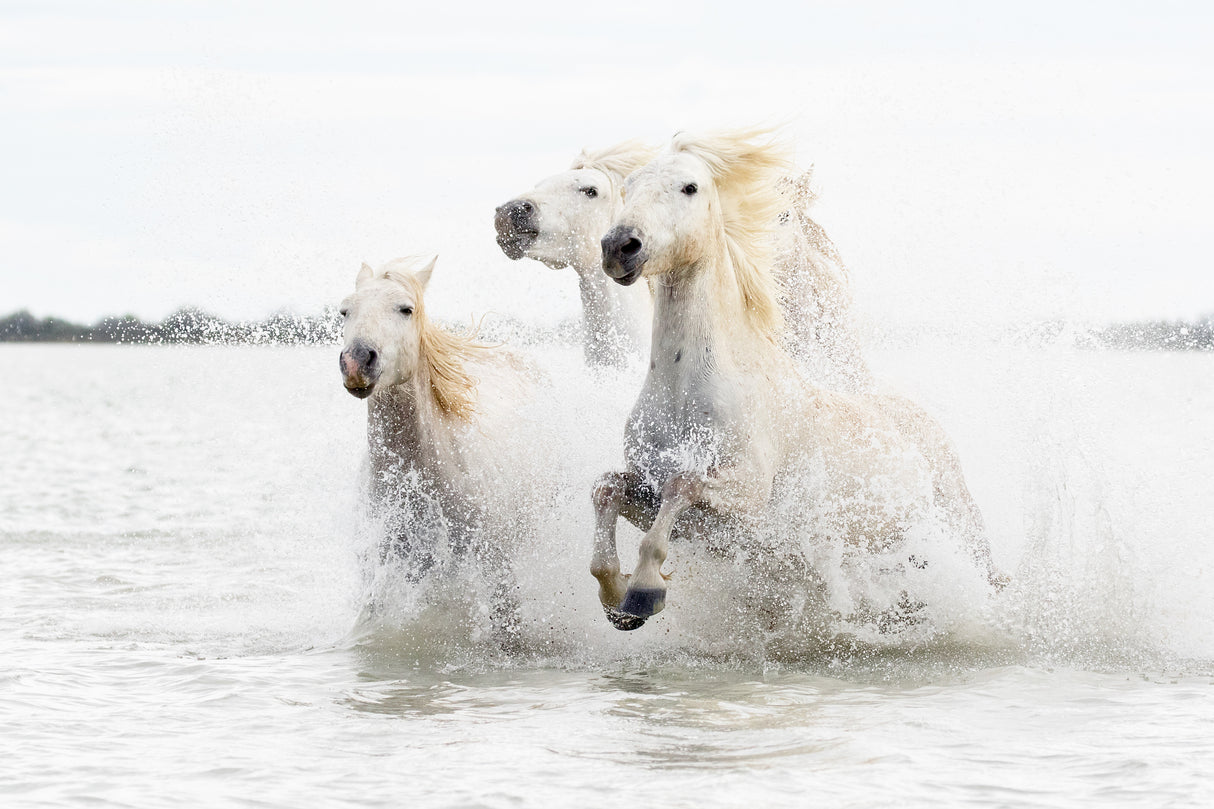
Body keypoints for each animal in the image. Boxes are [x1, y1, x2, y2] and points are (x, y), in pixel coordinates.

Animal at [591, 129, 1000, 631]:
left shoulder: (743, 496)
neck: (686, 390)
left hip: (960, 530)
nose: (619, 247)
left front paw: (644, 592)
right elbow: (606, 487)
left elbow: (682, 485)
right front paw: (616, 597)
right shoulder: (665, 501)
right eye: (628, 187)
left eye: (690, 187)